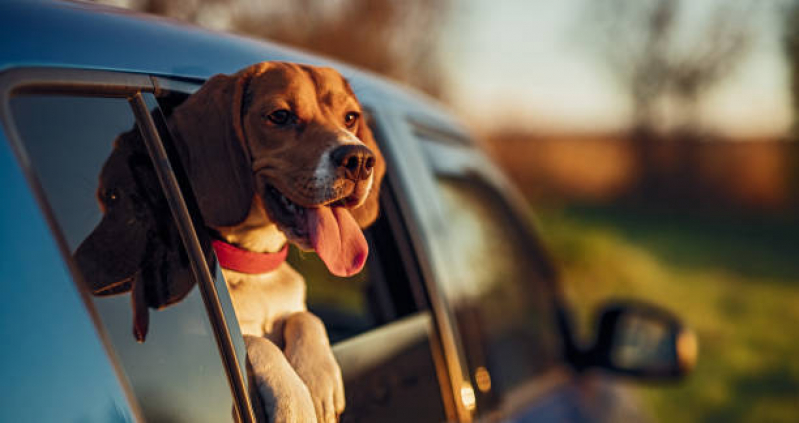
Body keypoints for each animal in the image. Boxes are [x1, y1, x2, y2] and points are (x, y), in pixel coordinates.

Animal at [74, 60, 384, 423]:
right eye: (280, 116)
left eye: (350, 117)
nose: (360, 160)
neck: (255, 265)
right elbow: (256, 342)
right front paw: (296, 403)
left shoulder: (297, 308)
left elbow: (307, 318)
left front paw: (319, 375)